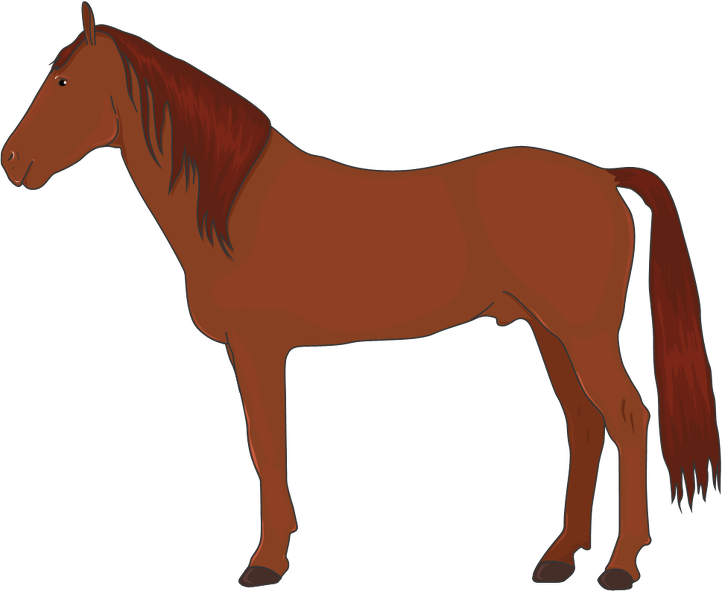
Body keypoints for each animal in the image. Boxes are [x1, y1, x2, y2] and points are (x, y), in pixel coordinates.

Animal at [3, 3, 719, 590]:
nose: (10, 162)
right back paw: (559, 557)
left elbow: (266, 444)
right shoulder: (251, 352)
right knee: (585, 423)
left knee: (627, 418)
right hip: (550, 334)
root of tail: (603, 175)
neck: (233, 208)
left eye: (63, 81)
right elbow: (264, 444)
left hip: (583, 335)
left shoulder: (259, 347)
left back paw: (621, 566)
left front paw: (265, 562)